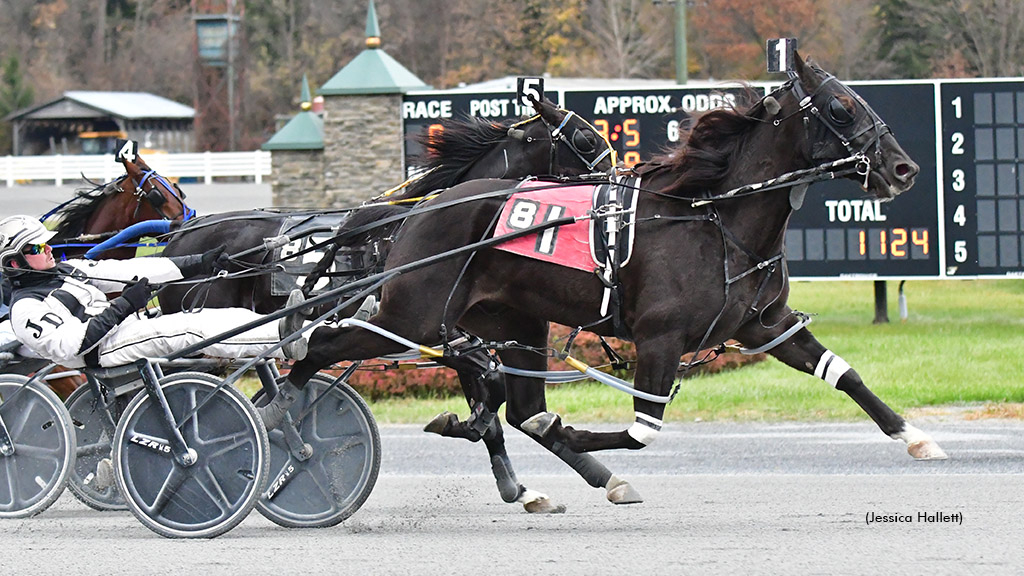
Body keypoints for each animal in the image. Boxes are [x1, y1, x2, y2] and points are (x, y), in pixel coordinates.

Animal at [272, 52, 942, 510]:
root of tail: (422, 207)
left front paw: (916, 436)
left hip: (511, 321)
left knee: (521, 407)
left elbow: (845, 374)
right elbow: (640, 431)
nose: (903, 168)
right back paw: (283, 416)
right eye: (840, 107)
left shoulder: (763, 325)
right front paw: (582, 445)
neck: (715, 217)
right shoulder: (660, 338)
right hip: (411, 315)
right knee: (319, 345)